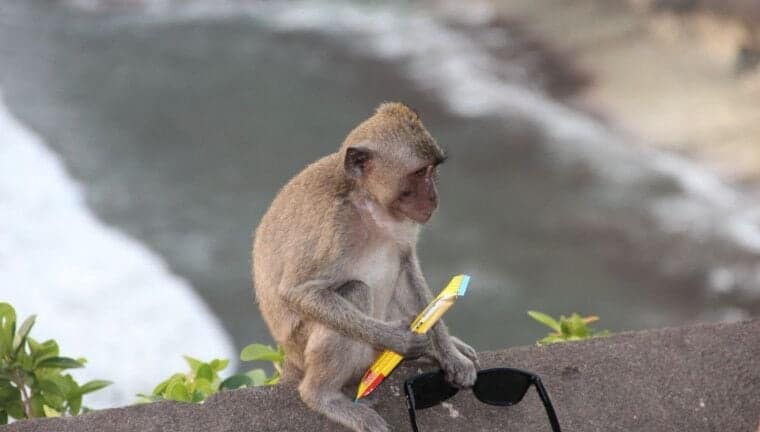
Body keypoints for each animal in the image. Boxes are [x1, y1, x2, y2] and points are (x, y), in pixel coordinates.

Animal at [252, 102, 478, 432]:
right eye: (419, 173)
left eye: (432, 170)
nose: (433, 197)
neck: (371, 204)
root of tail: (291, 362)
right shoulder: (334, 227)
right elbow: (298, 292)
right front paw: (399, 340)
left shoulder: (404, 224)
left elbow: (408, 271)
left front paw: (447, 352)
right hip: (302, 346)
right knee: (354, 291)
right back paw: (323, 396)